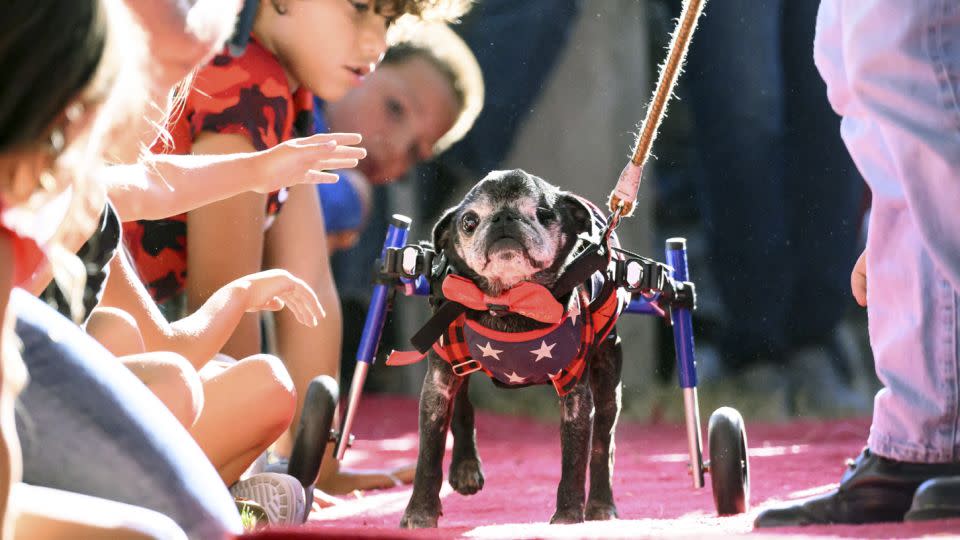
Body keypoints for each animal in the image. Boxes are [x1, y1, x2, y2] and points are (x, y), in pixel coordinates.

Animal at [398, 168, 624, 528]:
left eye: (545, 214)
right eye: (469, 221)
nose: (504, 217)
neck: (509, 300)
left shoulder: (576, 396)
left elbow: (574, 459)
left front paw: (568, 517)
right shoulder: (437, 385)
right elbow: (428, 453)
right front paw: (420, 513)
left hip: (607, 382)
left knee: (603, 444)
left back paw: (602, 505)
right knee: (463, 405)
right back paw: (465, 468)